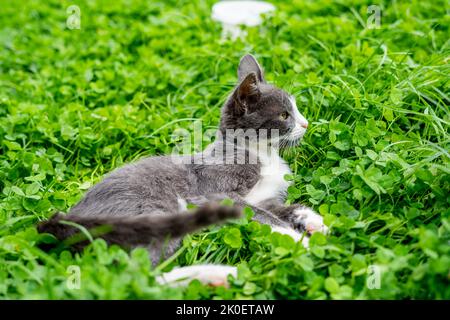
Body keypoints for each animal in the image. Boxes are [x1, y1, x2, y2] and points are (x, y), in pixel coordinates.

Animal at [37, 54, 326, 284]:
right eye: (284, 115)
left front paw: (314, 222)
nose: (306, 124)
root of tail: (65, 221)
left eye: (295, 110)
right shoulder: (216, 191)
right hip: (153, 210)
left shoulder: (265, 197)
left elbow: (280, 209)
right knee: (138, 276)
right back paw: (217, 274)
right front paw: (298, 240)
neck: (262, 155)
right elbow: (261, 216)